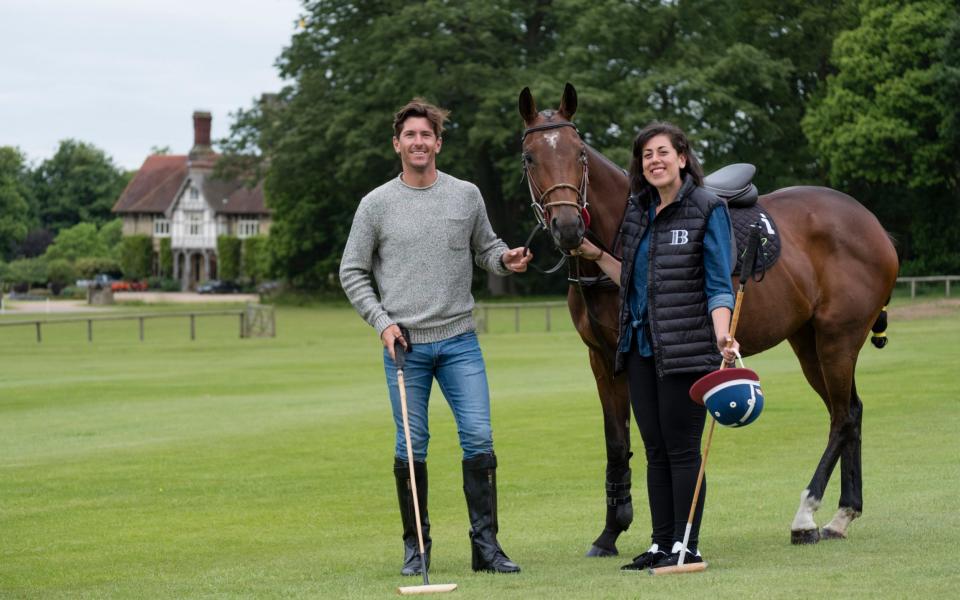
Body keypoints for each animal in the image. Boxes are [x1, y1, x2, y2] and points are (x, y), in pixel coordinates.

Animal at [516, 82, 900, 556]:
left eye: (579, 153)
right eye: (530, 157)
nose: (569, 226)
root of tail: (874, 225)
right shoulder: (603, 359)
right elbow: (616, 443)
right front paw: (609, 532)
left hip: (837, 339)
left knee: (842, 418)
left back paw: (806, 515)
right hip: (808, 340)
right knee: (851, 412)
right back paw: (843, 515)